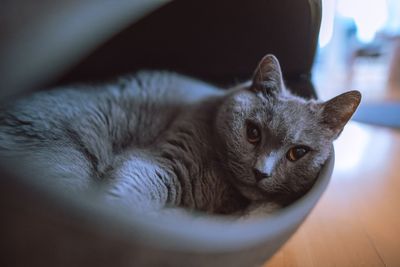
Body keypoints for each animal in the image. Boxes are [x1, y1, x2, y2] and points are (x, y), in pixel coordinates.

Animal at [0, 55, 360, 217]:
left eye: (298, 152)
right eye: (253, 132)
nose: (261, 172)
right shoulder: (161, 162)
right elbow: (130, 190)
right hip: (66, 163)